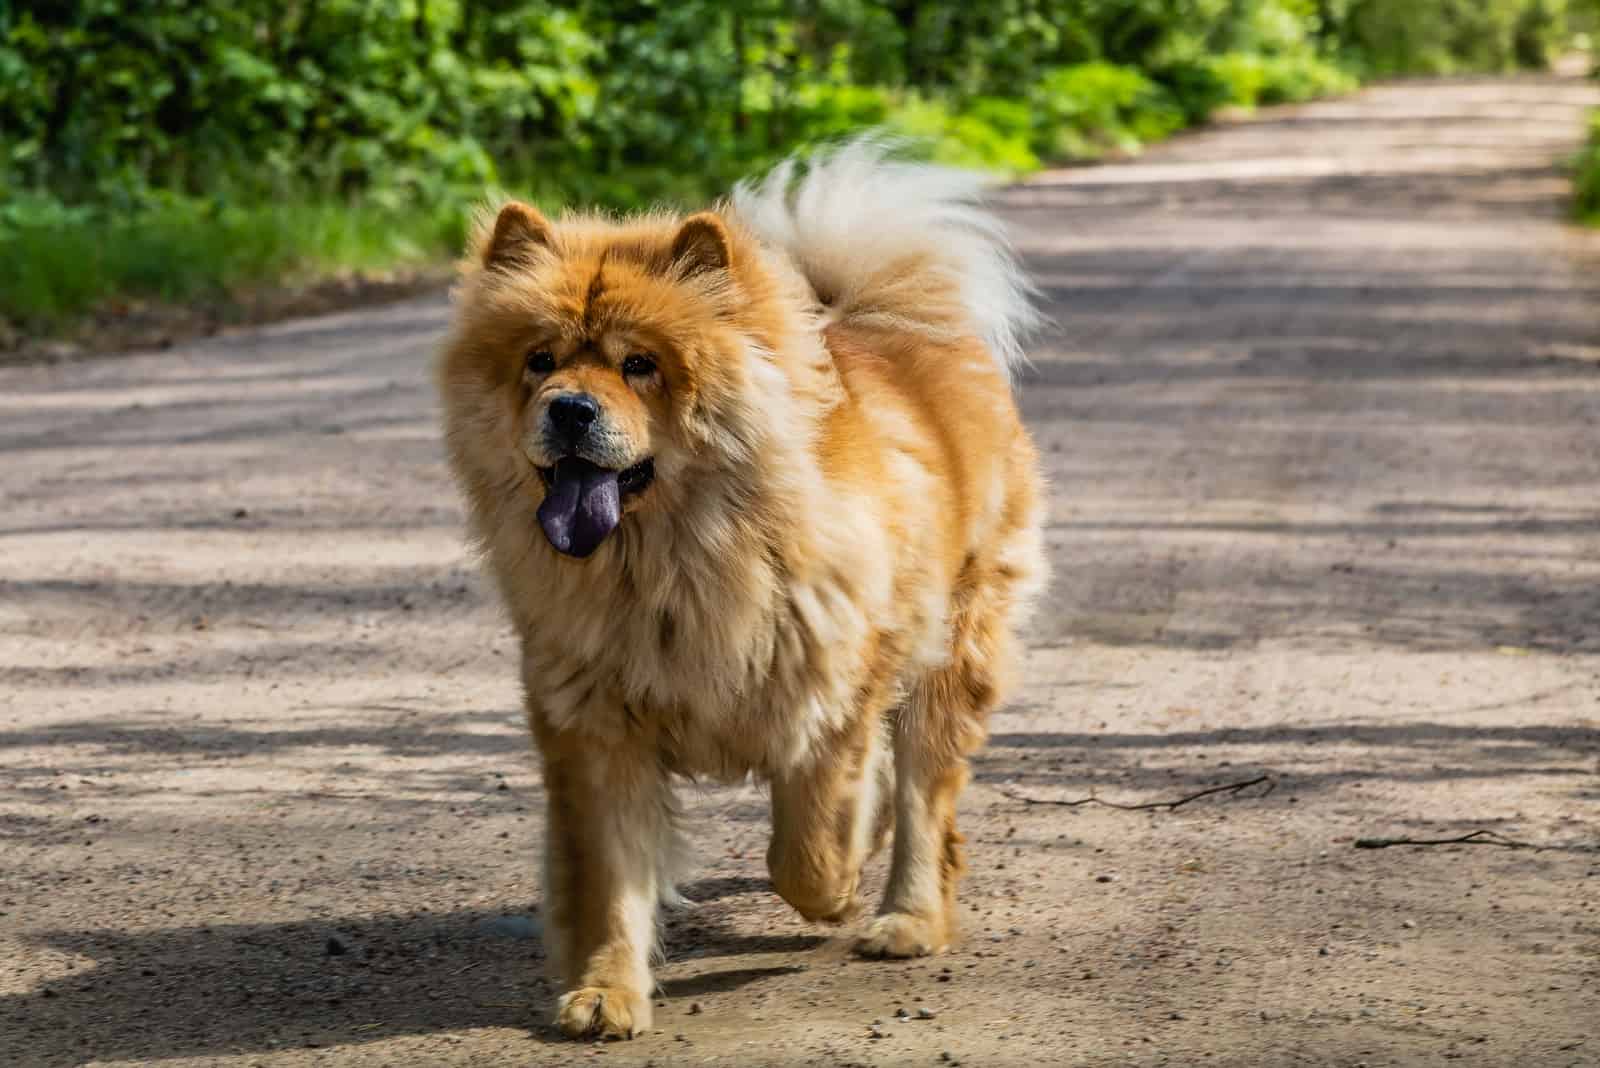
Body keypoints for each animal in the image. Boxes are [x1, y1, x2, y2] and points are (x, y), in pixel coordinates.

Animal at [441, 137, 1049, 1036]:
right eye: (539, 362)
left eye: (639, 365)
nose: (568, 408)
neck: (672, 563)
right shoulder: (594, 726)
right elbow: (611, 883)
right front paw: (605, 993)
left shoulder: (826, 698)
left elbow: (809, 849)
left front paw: (837, 889)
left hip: (954, 647)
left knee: (923, 800)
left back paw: (904, 920)